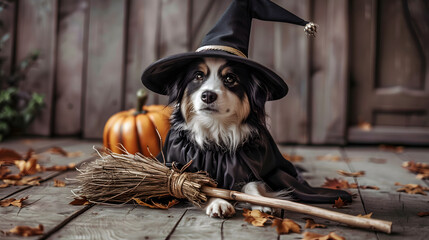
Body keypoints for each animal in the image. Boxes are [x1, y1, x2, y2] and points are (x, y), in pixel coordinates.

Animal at [164, 56, 288, 218]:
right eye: (198, 76)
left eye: (230, 78)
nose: (208, 95)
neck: (217, 130)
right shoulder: (182, 173)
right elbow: (202, 188)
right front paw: (218, 203)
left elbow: (253, 185)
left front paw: (261, 202)